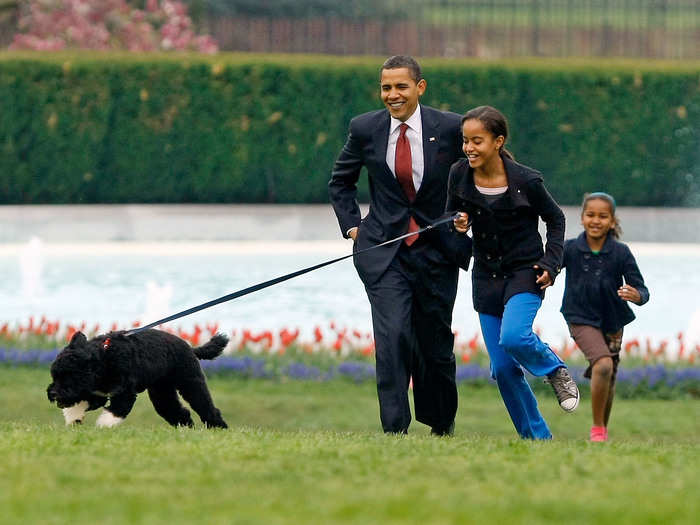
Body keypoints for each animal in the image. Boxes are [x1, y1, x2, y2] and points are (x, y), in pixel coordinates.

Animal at [47, 330, 228, 428]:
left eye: (70, 375)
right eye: (55, 375)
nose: (53, 393)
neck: (104, 359)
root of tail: (190, 348)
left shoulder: (125, 392)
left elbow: (116, 410)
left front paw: (103, 425)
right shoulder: (96, 393)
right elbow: (80, 403)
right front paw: (73, 417)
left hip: (191, 383)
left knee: (206, 406)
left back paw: (218, 428)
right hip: (161, 392)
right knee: (177, 411)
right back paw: (186, 428)